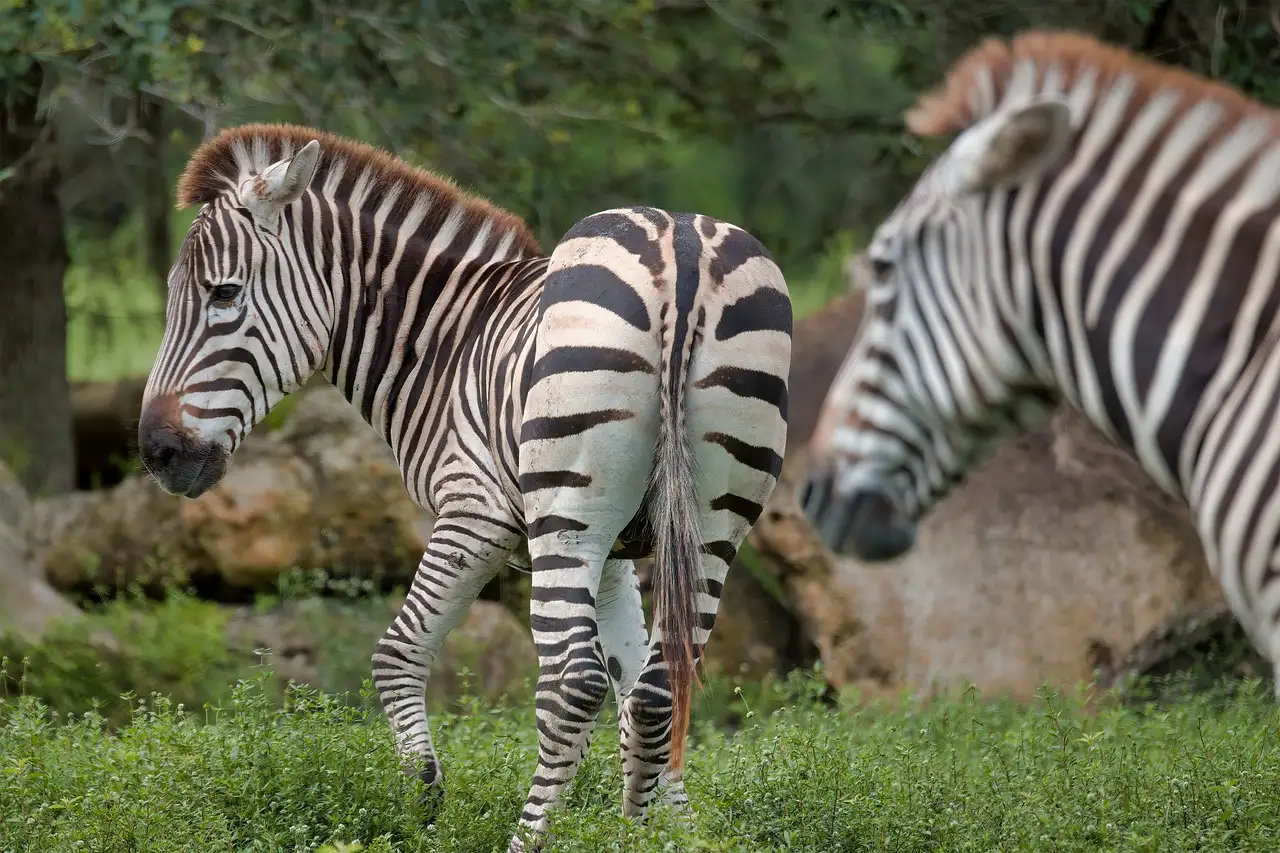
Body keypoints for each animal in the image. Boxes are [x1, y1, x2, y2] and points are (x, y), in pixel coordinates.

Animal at [136, 123, 791, 850]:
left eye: (223, 294)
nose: (158, 453)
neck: (446, 343)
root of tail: (679, 251)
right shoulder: (618, 551)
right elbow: (633, 695)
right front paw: (658, 826)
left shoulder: (475, 515)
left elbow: (397, 653)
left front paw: (423, 801)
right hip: (711, 519)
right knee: (663, 679)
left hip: (566, 514)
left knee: (571, 682)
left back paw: (526, 839)